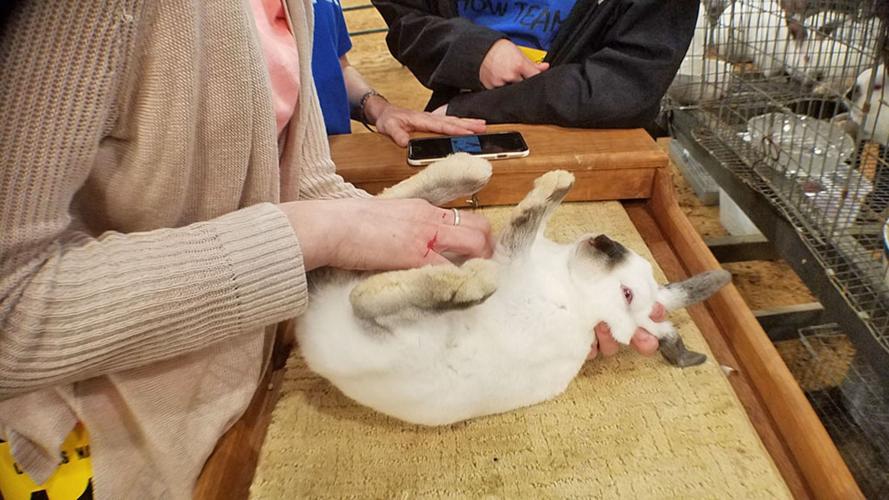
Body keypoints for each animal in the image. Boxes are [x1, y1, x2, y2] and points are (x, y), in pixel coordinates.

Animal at [297, 155, 732, 426]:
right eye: (631, 261)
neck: (574, 294)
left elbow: (525, 223)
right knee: (393, 202)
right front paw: (560, 180)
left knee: (368, 296)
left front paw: (554, 184)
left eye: (627, 294)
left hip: (384, 331)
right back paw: (465, 166)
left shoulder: (512, 260)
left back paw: (465, 281)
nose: (607, 243)